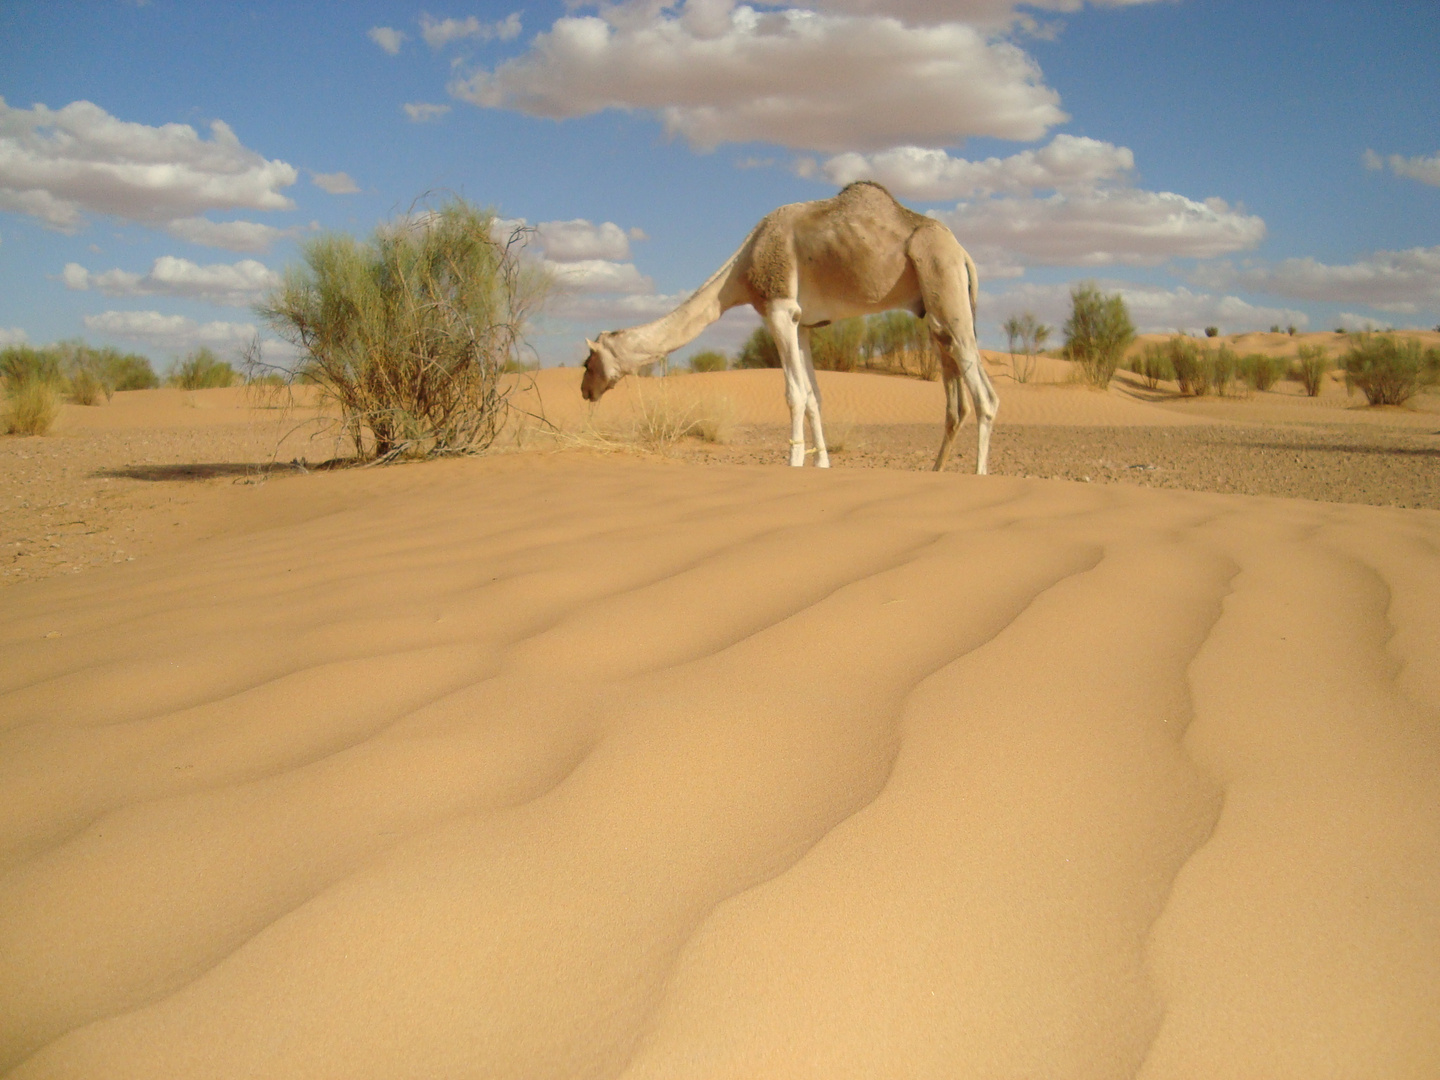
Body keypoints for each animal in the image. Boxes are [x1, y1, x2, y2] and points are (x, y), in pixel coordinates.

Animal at [578, 182, 996, 472]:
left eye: (587, 362)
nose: (584, 390)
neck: (741, 270)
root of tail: (963, 253)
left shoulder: (777, 309)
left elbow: (794, 394)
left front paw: (793, 462)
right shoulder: (804, 322)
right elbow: (814, 396)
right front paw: (822, 463)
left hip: (944, 282)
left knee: (984, 395)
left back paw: (979, 474)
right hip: (937, 309)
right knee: (955, 392)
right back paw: (937, 469)